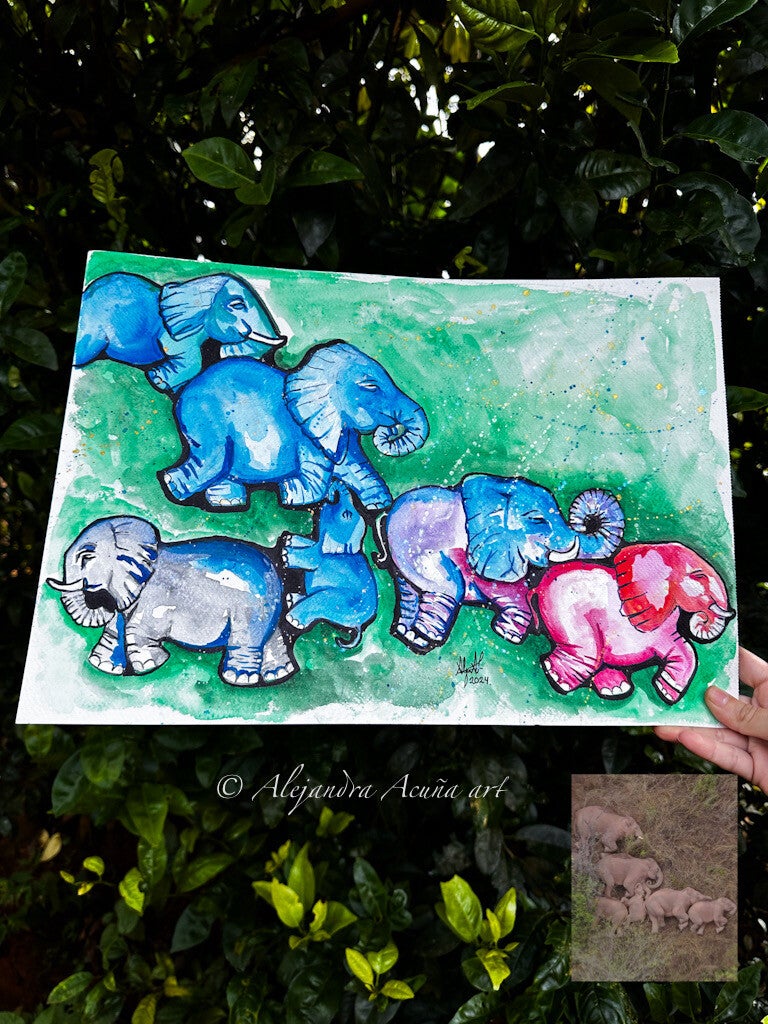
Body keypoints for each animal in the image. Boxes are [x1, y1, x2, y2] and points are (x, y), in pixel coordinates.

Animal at [47, 516, 295, 687]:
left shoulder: (155, 598)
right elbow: (114, 631)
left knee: (246, 640)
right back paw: (278, 674)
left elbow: (137, 630)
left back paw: (238, 678)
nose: (97, 595)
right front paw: (104, 667)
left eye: (86, 557)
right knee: (272, 637)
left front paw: (150, 665)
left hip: (251, 609)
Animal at [161, 342, 428, 511]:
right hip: (208, 423)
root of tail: (182, 394)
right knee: (210, 463)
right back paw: (171, 487)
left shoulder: (341, 431)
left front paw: (378, 506)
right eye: (371, 386)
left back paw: (227, 503)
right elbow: (317, 479)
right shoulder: (307, 436)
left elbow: (355, 467)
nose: (389, 431)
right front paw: (292, 495)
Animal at [282, 480, 378, 648]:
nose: (332, 493)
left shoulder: (322, 557)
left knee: (320, 601)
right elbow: (311, 543)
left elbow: (312, 559)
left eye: (346, 515)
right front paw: (289, 539)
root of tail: (359, 626)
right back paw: (290, 599)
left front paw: (284, 554)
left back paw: (293, 619)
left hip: (341, 602)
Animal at [378, 476, 624, 652]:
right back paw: (423, 638)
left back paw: (408, 635)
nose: (589, 522)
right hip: (422, 555)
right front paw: (507, 635)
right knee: (449, 589)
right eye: (538, 520)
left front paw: (506, 634)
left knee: (409, 591)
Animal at [535, 542, 734, 703]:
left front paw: (665, 691)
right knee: (587, 653)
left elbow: (685, 650)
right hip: (565, 612)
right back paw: (558, 679)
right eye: (699, 576)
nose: (732, 612)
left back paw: (615, 688)